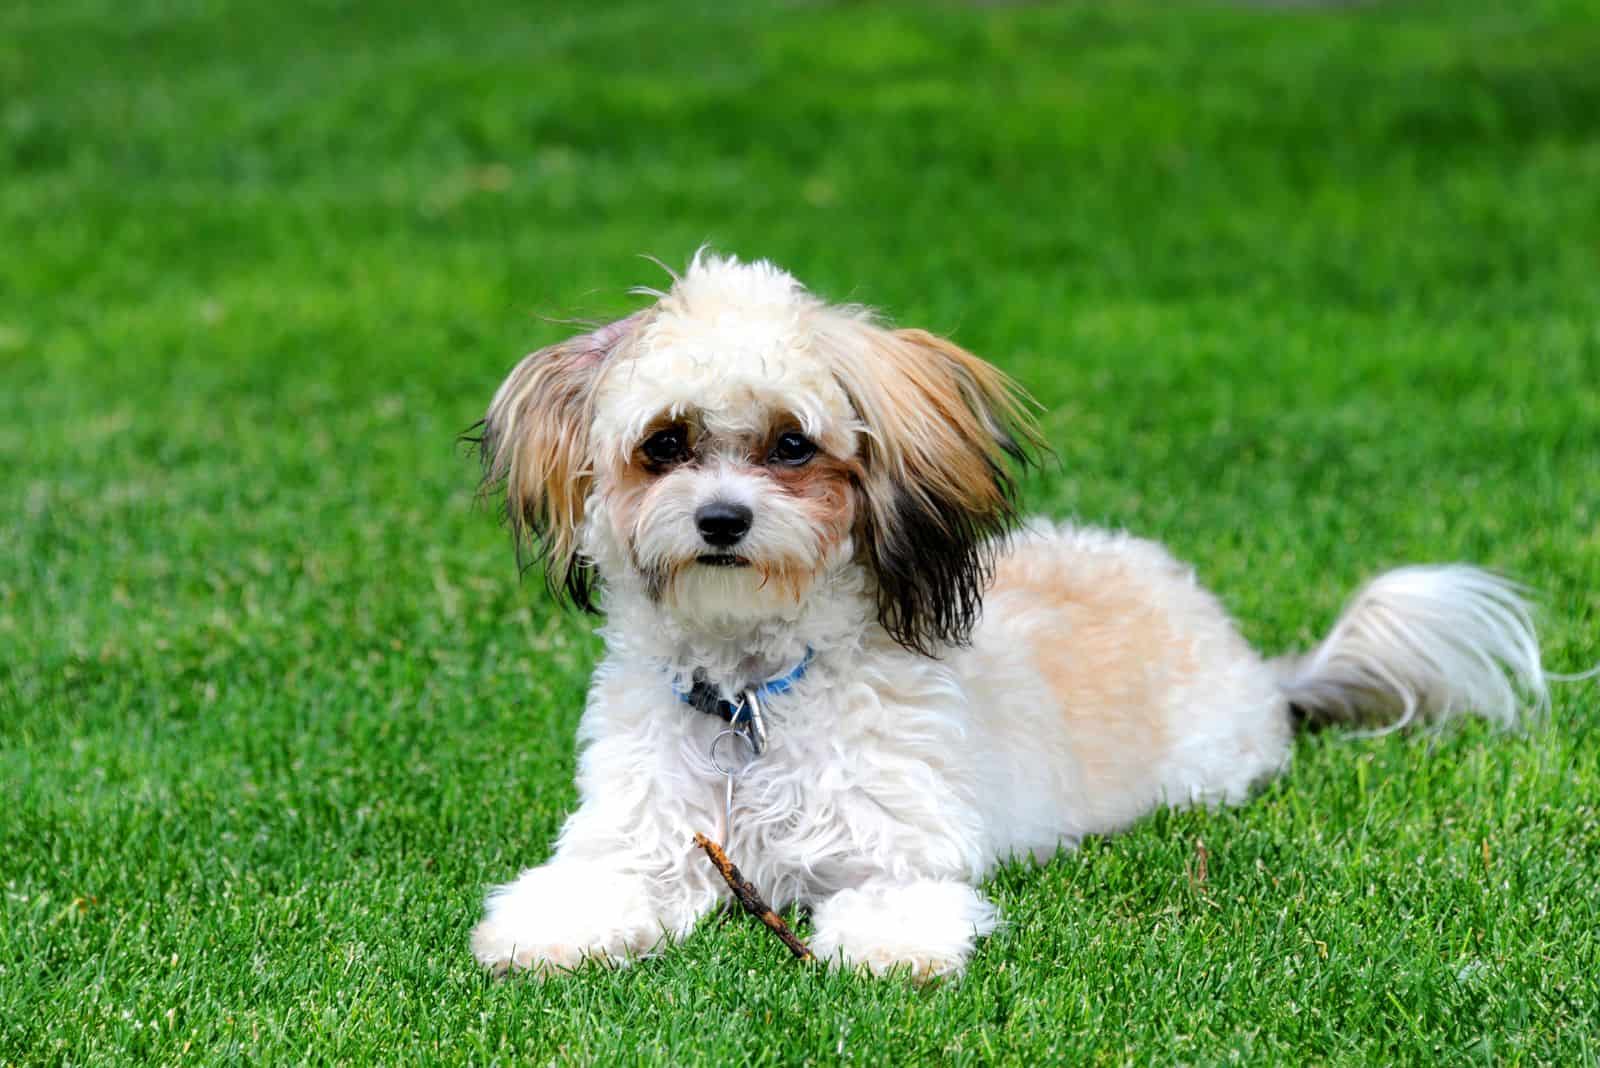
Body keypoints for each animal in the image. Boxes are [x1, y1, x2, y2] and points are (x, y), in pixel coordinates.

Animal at [467, 251, 1542, 978]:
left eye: (791, 445)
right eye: (666, 442)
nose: (721, 520)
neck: (752, 701)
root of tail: (1248, 657)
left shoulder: (901, 851)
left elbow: (891, 912)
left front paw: (886, 949)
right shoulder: (635, 837)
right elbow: (591, 884)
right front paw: (546, 930)